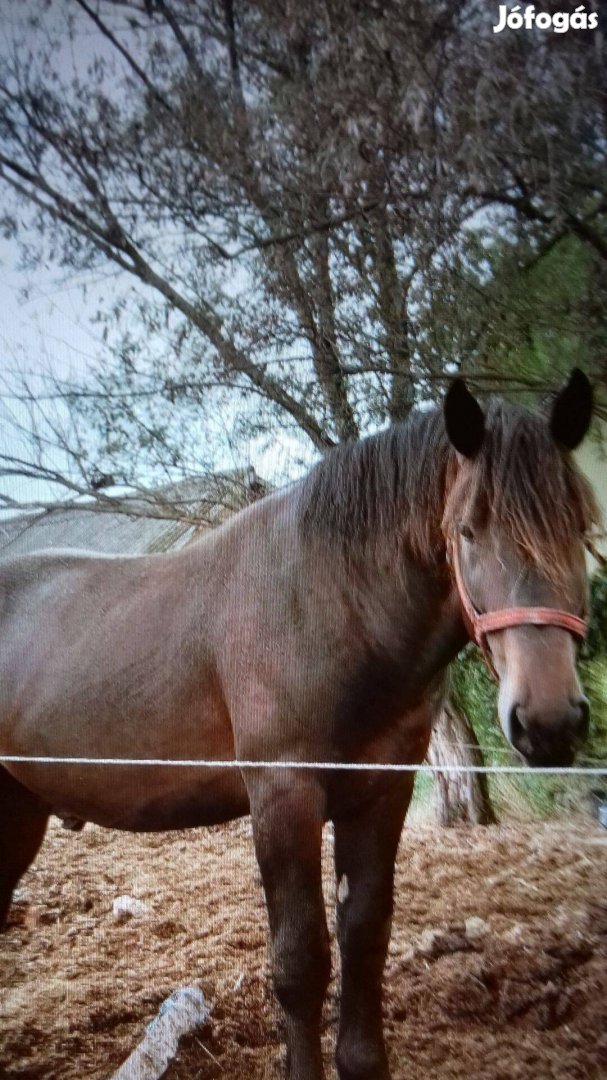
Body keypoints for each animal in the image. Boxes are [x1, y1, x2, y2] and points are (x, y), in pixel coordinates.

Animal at [0, 373, 596, 1080]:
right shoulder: (284, 795)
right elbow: (301, 963)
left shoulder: (381, 794)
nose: (549, 721)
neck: (324, 602)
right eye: (469, 531)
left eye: (581, 526)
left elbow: (365, 935)